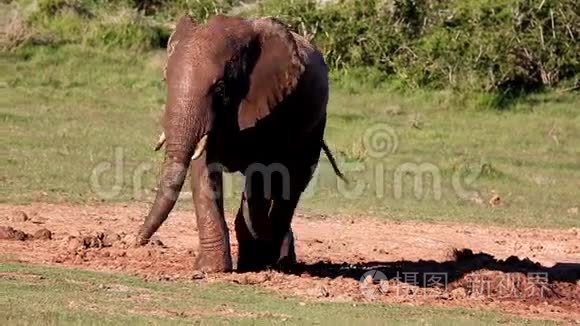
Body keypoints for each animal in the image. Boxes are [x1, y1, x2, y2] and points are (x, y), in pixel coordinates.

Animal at [136, 14, 344, 272]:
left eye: (220, 88)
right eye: (165, 79)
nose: (137, 240)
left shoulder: (270, 104)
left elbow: (261, 175)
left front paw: (253, 262)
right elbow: (204, 171)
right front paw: (209, 269)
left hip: (314, 126)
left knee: (290, 184)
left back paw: (276, 260)